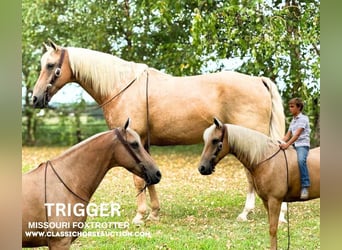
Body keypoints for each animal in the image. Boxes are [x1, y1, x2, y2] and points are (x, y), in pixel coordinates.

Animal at [32, 40, 288, 225]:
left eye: (50, 65)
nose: (35, 98)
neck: (122, 86)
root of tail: (258, 81)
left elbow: (138, 180)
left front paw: (139, 216)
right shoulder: (142, 143)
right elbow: (148, 176)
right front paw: (154, 213)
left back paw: (258, 213)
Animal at [198, 117, 320, 250]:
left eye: (215, 140)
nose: (202, 168)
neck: (267, 161)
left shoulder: (275, 201)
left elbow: (273, 229)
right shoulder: (266, 201)